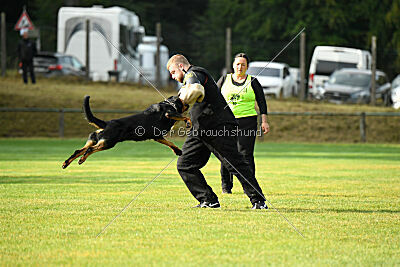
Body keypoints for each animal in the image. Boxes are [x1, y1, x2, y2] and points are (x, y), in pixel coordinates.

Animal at [62, 95, 191, 169]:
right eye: (183, 102)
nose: (188, 104)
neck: (169, 104)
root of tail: (106, 123)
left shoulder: (158, 136)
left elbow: (170, 143)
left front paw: (178, 151)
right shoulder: (169, 114)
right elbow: (185, 117)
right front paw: (188, 123)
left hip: (96, 140)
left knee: (78, 151)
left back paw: (66, 163)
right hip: (107, 143)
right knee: (89, 150)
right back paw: (81, 160)